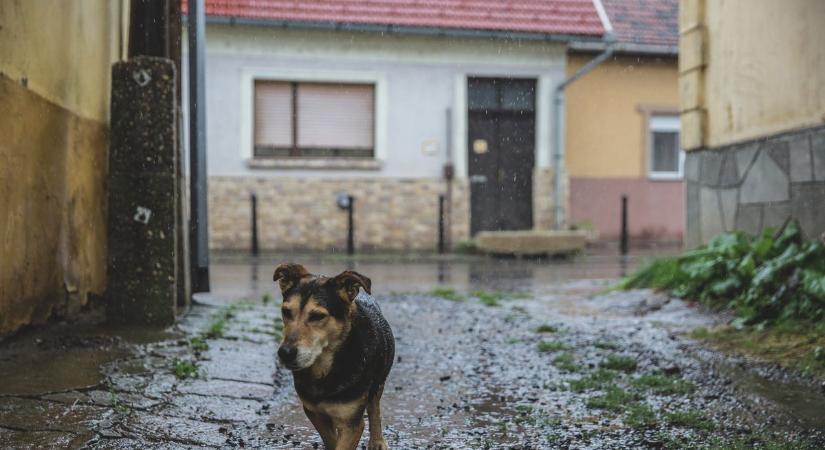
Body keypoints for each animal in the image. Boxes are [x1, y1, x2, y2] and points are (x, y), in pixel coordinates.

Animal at [274, 264, 396, 450]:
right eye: (286, 312)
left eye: (317, 316)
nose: (285, 353)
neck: (326, 367)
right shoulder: (313, 411)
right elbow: (330, 439)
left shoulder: (352, 423)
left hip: (379, 380)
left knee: (374, 408)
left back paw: (377, 441)